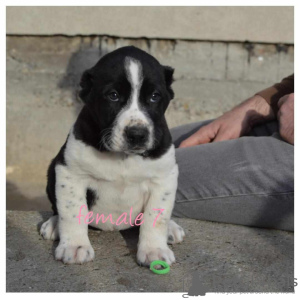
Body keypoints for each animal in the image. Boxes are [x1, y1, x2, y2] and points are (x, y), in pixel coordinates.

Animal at [39, 45, 185, 266]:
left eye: (154, 96)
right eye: (113, 95)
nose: (137, 134)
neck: (122, 156)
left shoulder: (164, 177)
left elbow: (156, 216)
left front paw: (154, 250)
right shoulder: (70, 173)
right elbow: (72, 210)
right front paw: (74, 246)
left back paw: (171, 228)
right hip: (52, 171)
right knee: (58, 208)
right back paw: (55, 224)